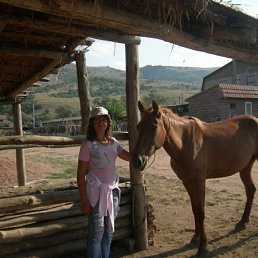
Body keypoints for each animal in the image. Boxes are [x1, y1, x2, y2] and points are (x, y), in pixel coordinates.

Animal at [132, 100, 256, 255]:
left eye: (154, 127)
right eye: (138, 126)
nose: (137, 161)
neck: (184, 144)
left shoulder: (199, 181)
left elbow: (200, 211)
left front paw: (203, 245)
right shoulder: (187, 181)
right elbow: (194, 209)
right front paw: (195, 237)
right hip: (245, 167)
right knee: (250, 190)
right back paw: (243, 222)